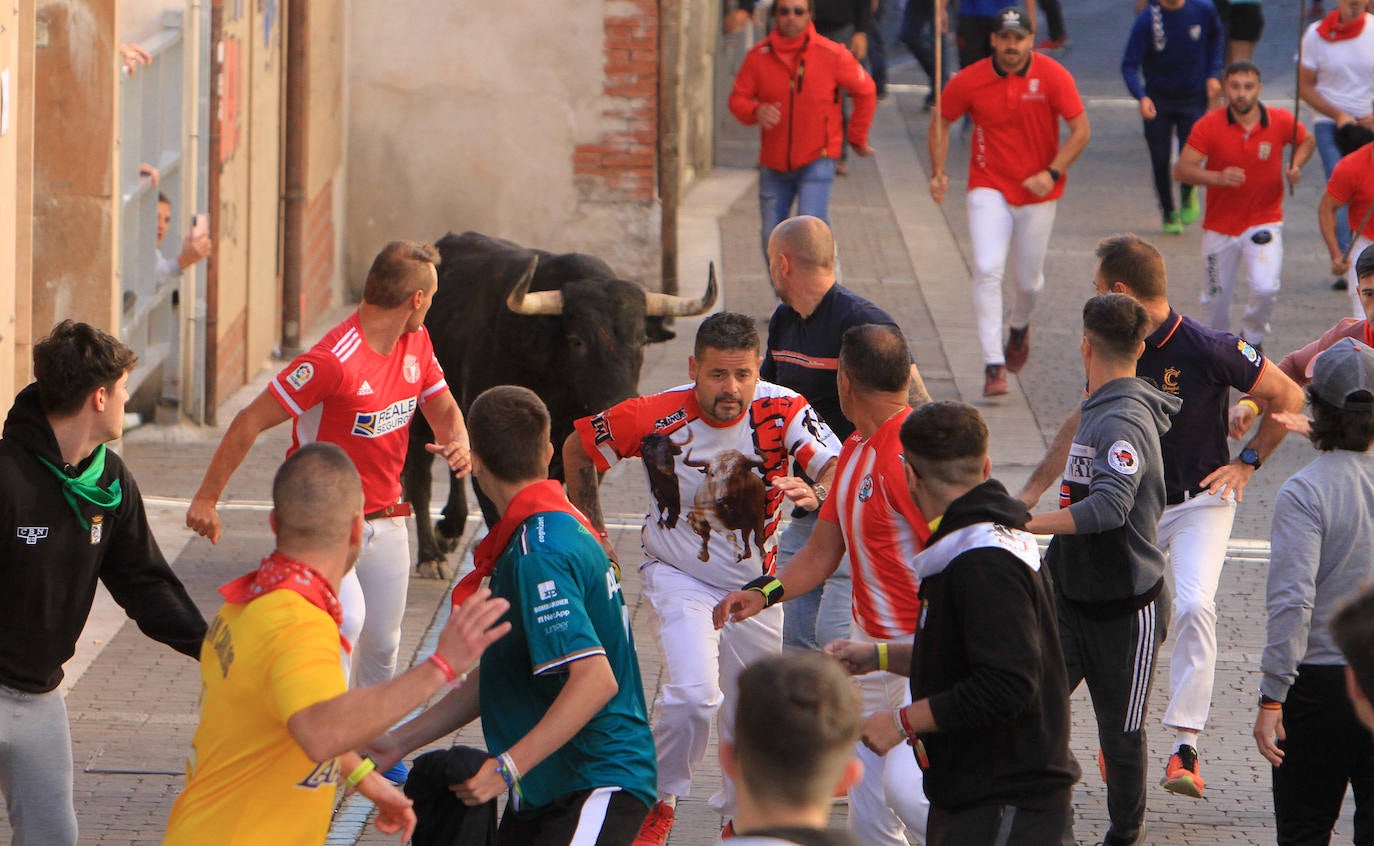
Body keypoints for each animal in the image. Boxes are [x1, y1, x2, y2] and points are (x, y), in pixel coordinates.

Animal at [401, 229, 714, 574]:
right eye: (577, 341)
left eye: (641, 340)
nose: (620, 403)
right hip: (421, 416)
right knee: (420, 477)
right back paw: (431, 556)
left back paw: (450, 529)